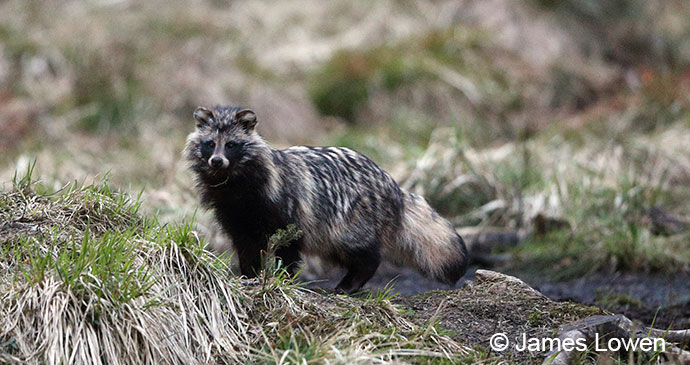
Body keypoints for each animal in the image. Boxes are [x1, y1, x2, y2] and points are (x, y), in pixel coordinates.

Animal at [183, 105, 468, 292]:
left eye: (231, 145)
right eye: (210, 143)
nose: (216, 160)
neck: (234, 185)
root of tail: (394, 187)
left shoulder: (286, 208)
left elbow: (289, 248)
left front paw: (282, 279)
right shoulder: (236, 217)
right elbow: (246, 249)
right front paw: (250, 276)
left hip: (351, 221)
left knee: (366, 255)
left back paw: (350, 283)